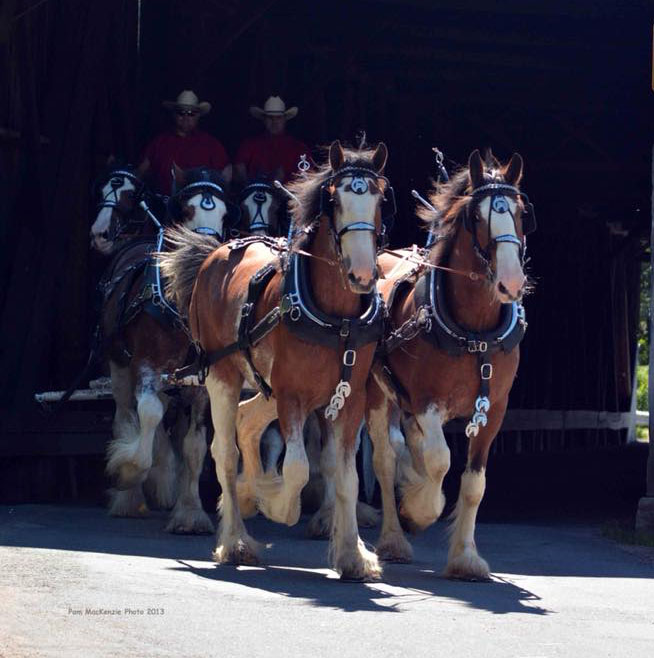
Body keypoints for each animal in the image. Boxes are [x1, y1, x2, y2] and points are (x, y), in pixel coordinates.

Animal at [161, 140, 392, 580]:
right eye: (334, 200)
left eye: (380, 197)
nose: (361, 274)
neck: (336, 318)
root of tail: (216, 252)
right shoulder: (291, 396)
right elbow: (298, 469)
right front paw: (274, 501)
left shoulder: (348, 398)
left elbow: (347, 477)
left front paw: (353, 555)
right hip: (223, 376)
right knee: (224, 451)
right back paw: (236, 538)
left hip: (272, 386)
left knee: (248, 421)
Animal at [366, 147, 536, 576]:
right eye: (476, 217)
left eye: (521, 213)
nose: (512, 282)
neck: (474, 332)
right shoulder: (426, 401)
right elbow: (440, 461)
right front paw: (420, 509)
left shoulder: (493, 409)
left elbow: (474, 484)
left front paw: (466, 558)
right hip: (375, 392)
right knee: (385, 458)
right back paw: (394, 537)